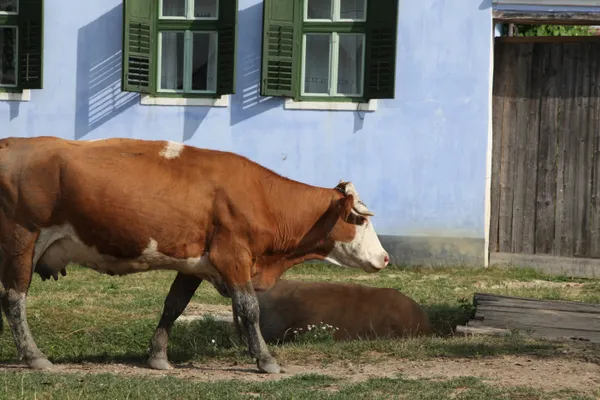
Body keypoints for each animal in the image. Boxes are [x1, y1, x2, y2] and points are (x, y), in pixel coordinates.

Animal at [0, 136, 390, 374]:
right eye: (358, 219)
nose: (385, 258)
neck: (261, 196)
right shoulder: (233, 255)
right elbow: (249, 308)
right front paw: (265, 359)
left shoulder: (194, 264)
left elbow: (174, 305)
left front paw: (158, 356)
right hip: (22, 238)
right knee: (14, 299)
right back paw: (35, 357)